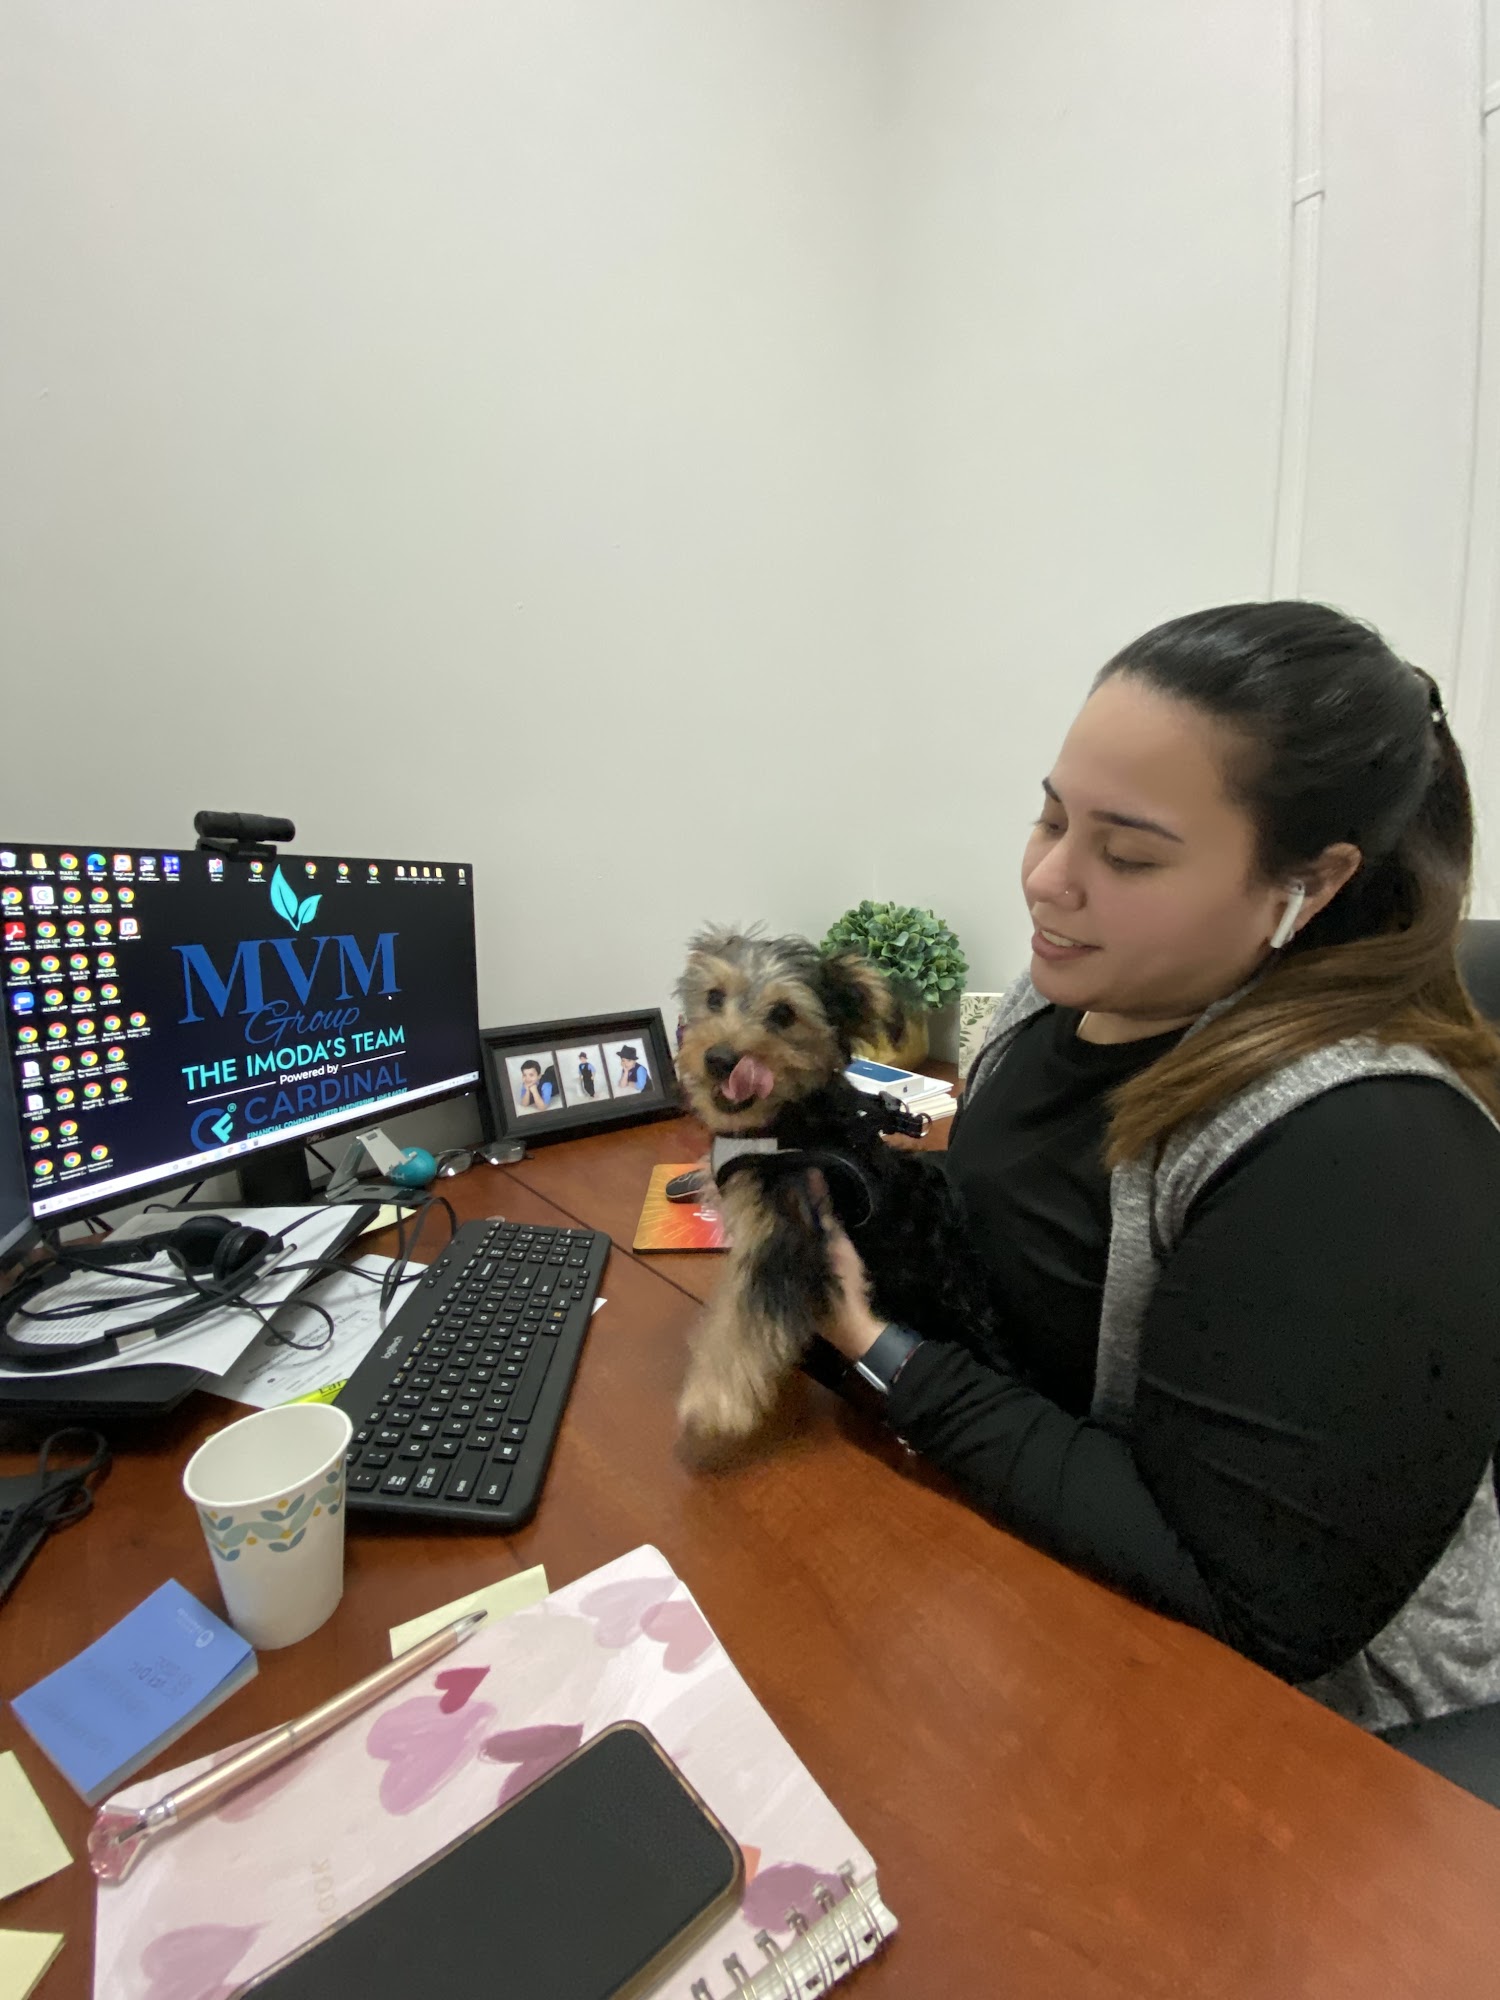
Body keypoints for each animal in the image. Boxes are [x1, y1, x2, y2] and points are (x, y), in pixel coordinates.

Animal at [674, 927, 994, 1447]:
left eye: (784, 1014)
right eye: (714, 998)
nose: (719, 1059)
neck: (786, 1120)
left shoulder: (789, 1233)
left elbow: (744, 1316)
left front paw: (712, 1404)